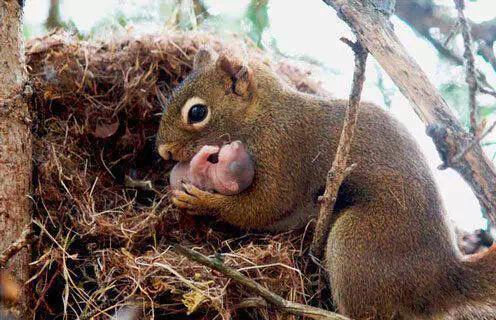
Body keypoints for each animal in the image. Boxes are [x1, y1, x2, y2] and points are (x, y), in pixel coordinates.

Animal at [157, 48, 496, 320]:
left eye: (197, 112)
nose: (163, 152)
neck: (263, 114)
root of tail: (441, 280)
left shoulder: (284, 148)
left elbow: (265, 206)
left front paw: (202, 201)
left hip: (358, 242)